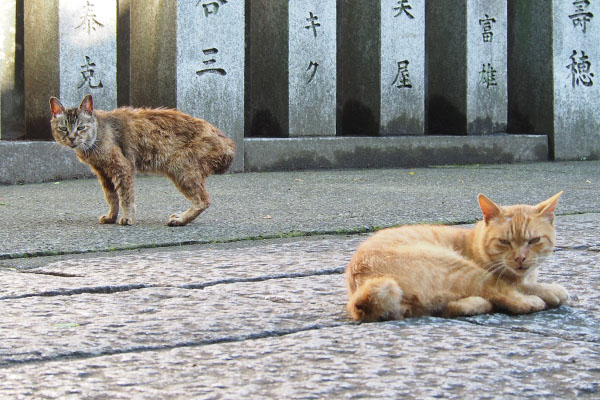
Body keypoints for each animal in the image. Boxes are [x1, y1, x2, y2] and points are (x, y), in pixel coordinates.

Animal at [48, 93, 234, 225]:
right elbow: (112, 197)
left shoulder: (122, 166)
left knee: (203, 200)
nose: (71, 138)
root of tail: (227, 141)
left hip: (181, 168)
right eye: (63, 128)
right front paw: (111, 217)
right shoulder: (103, 172)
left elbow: (125, 196)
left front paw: (127, 218)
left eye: (81, 127)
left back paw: (180, 220)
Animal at [344, 191, 568, 322]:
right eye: (504, 242)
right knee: (505, 294)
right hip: (461, 268)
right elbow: (519, 285)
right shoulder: (501, 276)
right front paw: (547, 289)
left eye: (534, 240)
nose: (520, 258)